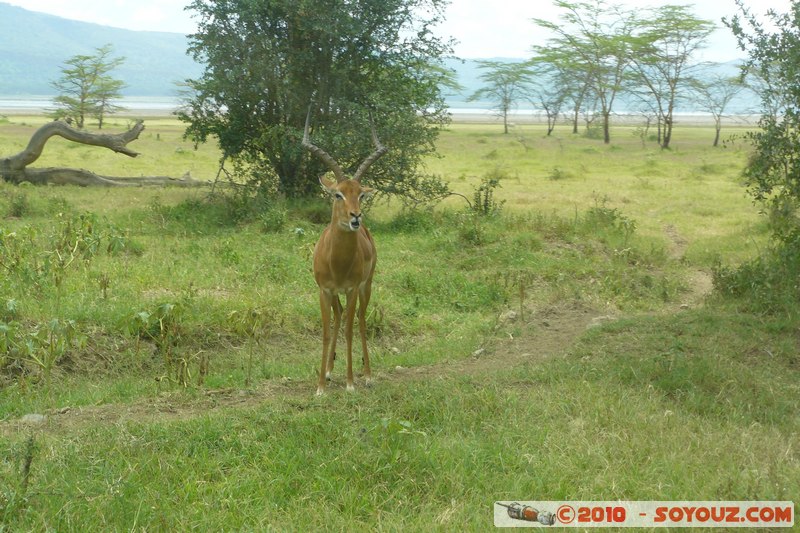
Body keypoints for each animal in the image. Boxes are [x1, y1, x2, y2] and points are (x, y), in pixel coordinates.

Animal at [303, 111, 388, 395]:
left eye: (360, 194)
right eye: (337, 194)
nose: (356, 217)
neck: (337, 263)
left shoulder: (350, 289)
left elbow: (350, 330)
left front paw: (351, 383)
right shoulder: (324, 291)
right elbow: (327, 332)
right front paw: (320, 386)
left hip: (366, 286)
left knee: (360, 321)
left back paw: (368, 374)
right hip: (337, 294)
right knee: (339, 318)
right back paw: (329, 371)